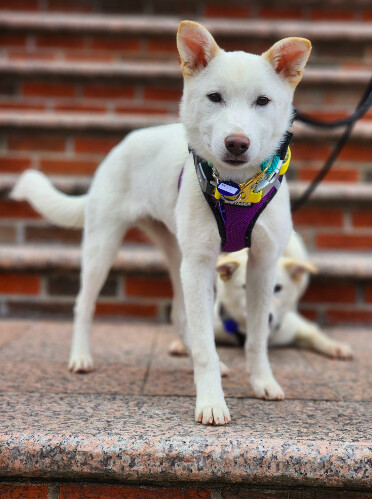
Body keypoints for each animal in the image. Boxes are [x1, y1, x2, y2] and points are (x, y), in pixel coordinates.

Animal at [10, 20, 310, 426]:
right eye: (215, 97)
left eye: (262, 101)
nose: (237, 143)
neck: (236, 187)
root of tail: (123, 143)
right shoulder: (200, 263)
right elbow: (206, 346)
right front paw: (211, 401)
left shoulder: (262, 264)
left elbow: (256, 337)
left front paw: (262, 381)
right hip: (104, 247)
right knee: (84, 304)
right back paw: (81, 357)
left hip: (176, 254)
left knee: (180, 314)